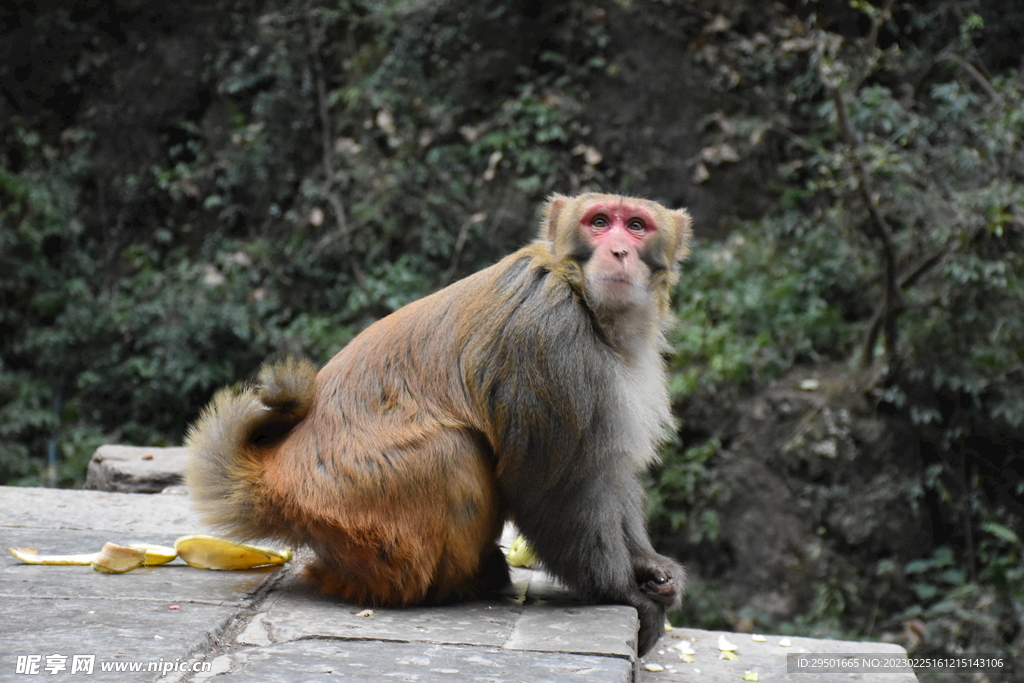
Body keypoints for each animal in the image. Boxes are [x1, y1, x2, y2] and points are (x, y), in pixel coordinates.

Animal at [188, 191, 692, 651]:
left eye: (636, 226)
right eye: (600, 222)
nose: (619, 250)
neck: (580, 293)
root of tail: (275, 477)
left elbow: (608, 472)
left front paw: (649, 566)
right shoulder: (549, 337)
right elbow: (557, 491)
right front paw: (626, 593)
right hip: (360, 509)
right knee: (454, 451)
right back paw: (448, 586)